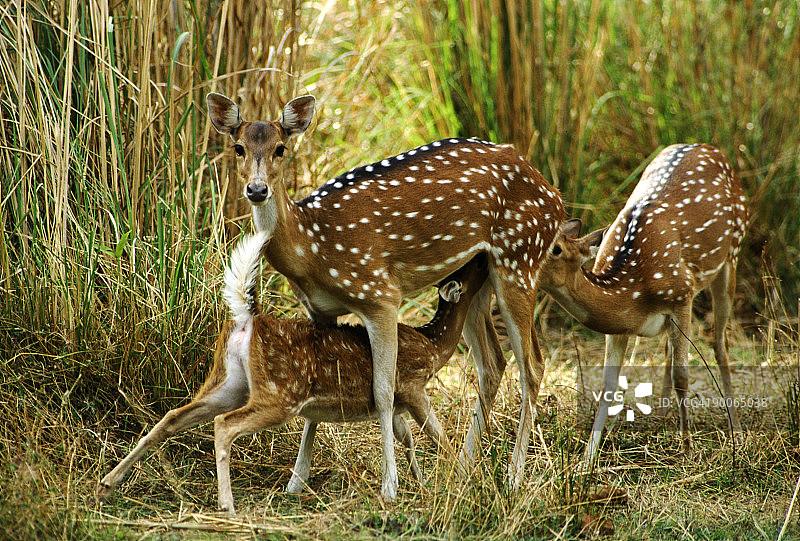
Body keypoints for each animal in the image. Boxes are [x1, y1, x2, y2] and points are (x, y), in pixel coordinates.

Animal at [97, 232, 489, 515]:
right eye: (471, 270)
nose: (484, 257)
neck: (433, 346)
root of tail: (247, 320)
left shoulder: (395, 403)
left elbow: (405, 437)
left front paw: (420, 483)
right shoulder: (411, 385)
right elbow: (436, 435)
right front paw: (464, 480)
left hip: (228, 381)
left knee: (173, 416)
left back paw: (107, 484)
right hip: (279, 393)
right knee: (224, 425)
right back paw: (227, 504)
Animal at [205, 92, 565, 498]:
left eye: (281, 148)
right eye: (238, 147)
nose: (257, 190)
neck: (311, 247)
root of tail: (554, 194)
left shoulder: (380, 294)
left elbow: (384, 392)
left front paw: (389, 486)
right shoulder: (318, 310)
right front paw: (297, 481)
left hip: (521, 258)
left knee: (532, 365)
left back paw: (514, 476)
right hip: (480, 273)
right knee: (493, 363)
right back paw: (466, 466)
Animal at [539, 143, 748, 465]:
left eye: (556, 248)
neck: (634, 289)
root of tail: (709, 147)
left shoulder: (682, 295)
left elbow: (682, 375)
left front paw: (687, 449)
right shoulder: (619, 329)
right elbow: (608, 385)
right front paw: (587, 459)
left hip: (732, 255)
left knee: (719, 343)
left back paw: (735, 431)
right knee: (670, 349)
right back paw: (662, 416)